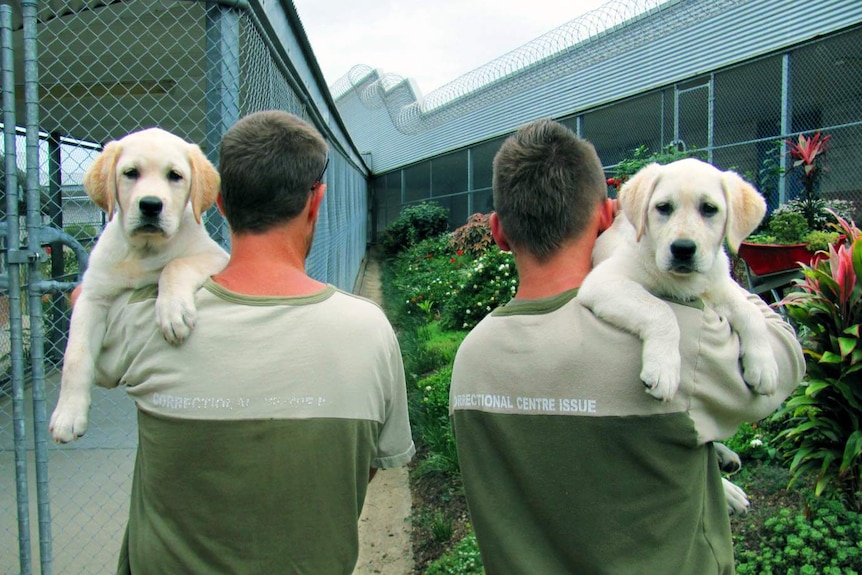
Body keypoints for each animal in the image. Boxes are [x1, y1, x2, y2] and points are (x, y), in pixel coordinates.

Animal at [49, 128, 228, 444]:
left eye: (175, 176)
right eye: (130, 173)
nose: (151, 205)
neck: (144, 249)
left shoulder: (214, 255)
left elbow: (175, 265)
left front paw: (173, 313)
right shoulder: (93, 296)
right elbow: (75, 356)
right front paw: (68, 415)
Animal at [584, 155, 780, 402]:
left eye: (709, 209)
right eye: (663, 208)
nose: (683, 249)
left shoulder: (717, 285)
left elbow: (751, 311)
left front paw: (764, 365)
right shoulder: (605, 280)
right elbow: (660, 309)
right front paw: (663, 369)